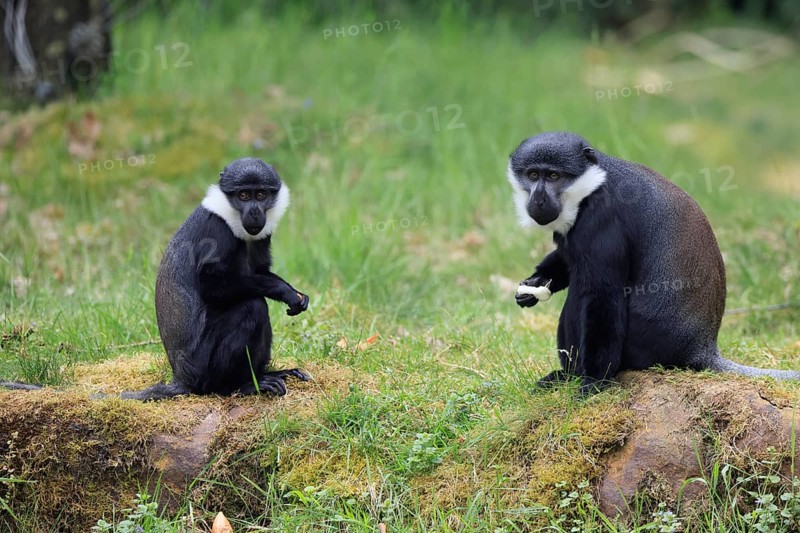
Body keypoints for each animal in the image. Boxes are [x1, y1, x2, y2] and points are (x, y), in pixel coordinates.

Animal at [506, 131, 798, 394]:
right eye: (533, 175)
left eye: (554, 177)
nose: (538, 198)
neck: (592, 185)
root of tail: (700, 349)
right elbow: (568, 260)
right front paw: (534, 284)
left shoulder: (601, 219)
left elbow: (602, 294)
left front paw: (593, 383)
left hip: (640, 347)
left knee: (582, 297)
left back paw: (571, 375)